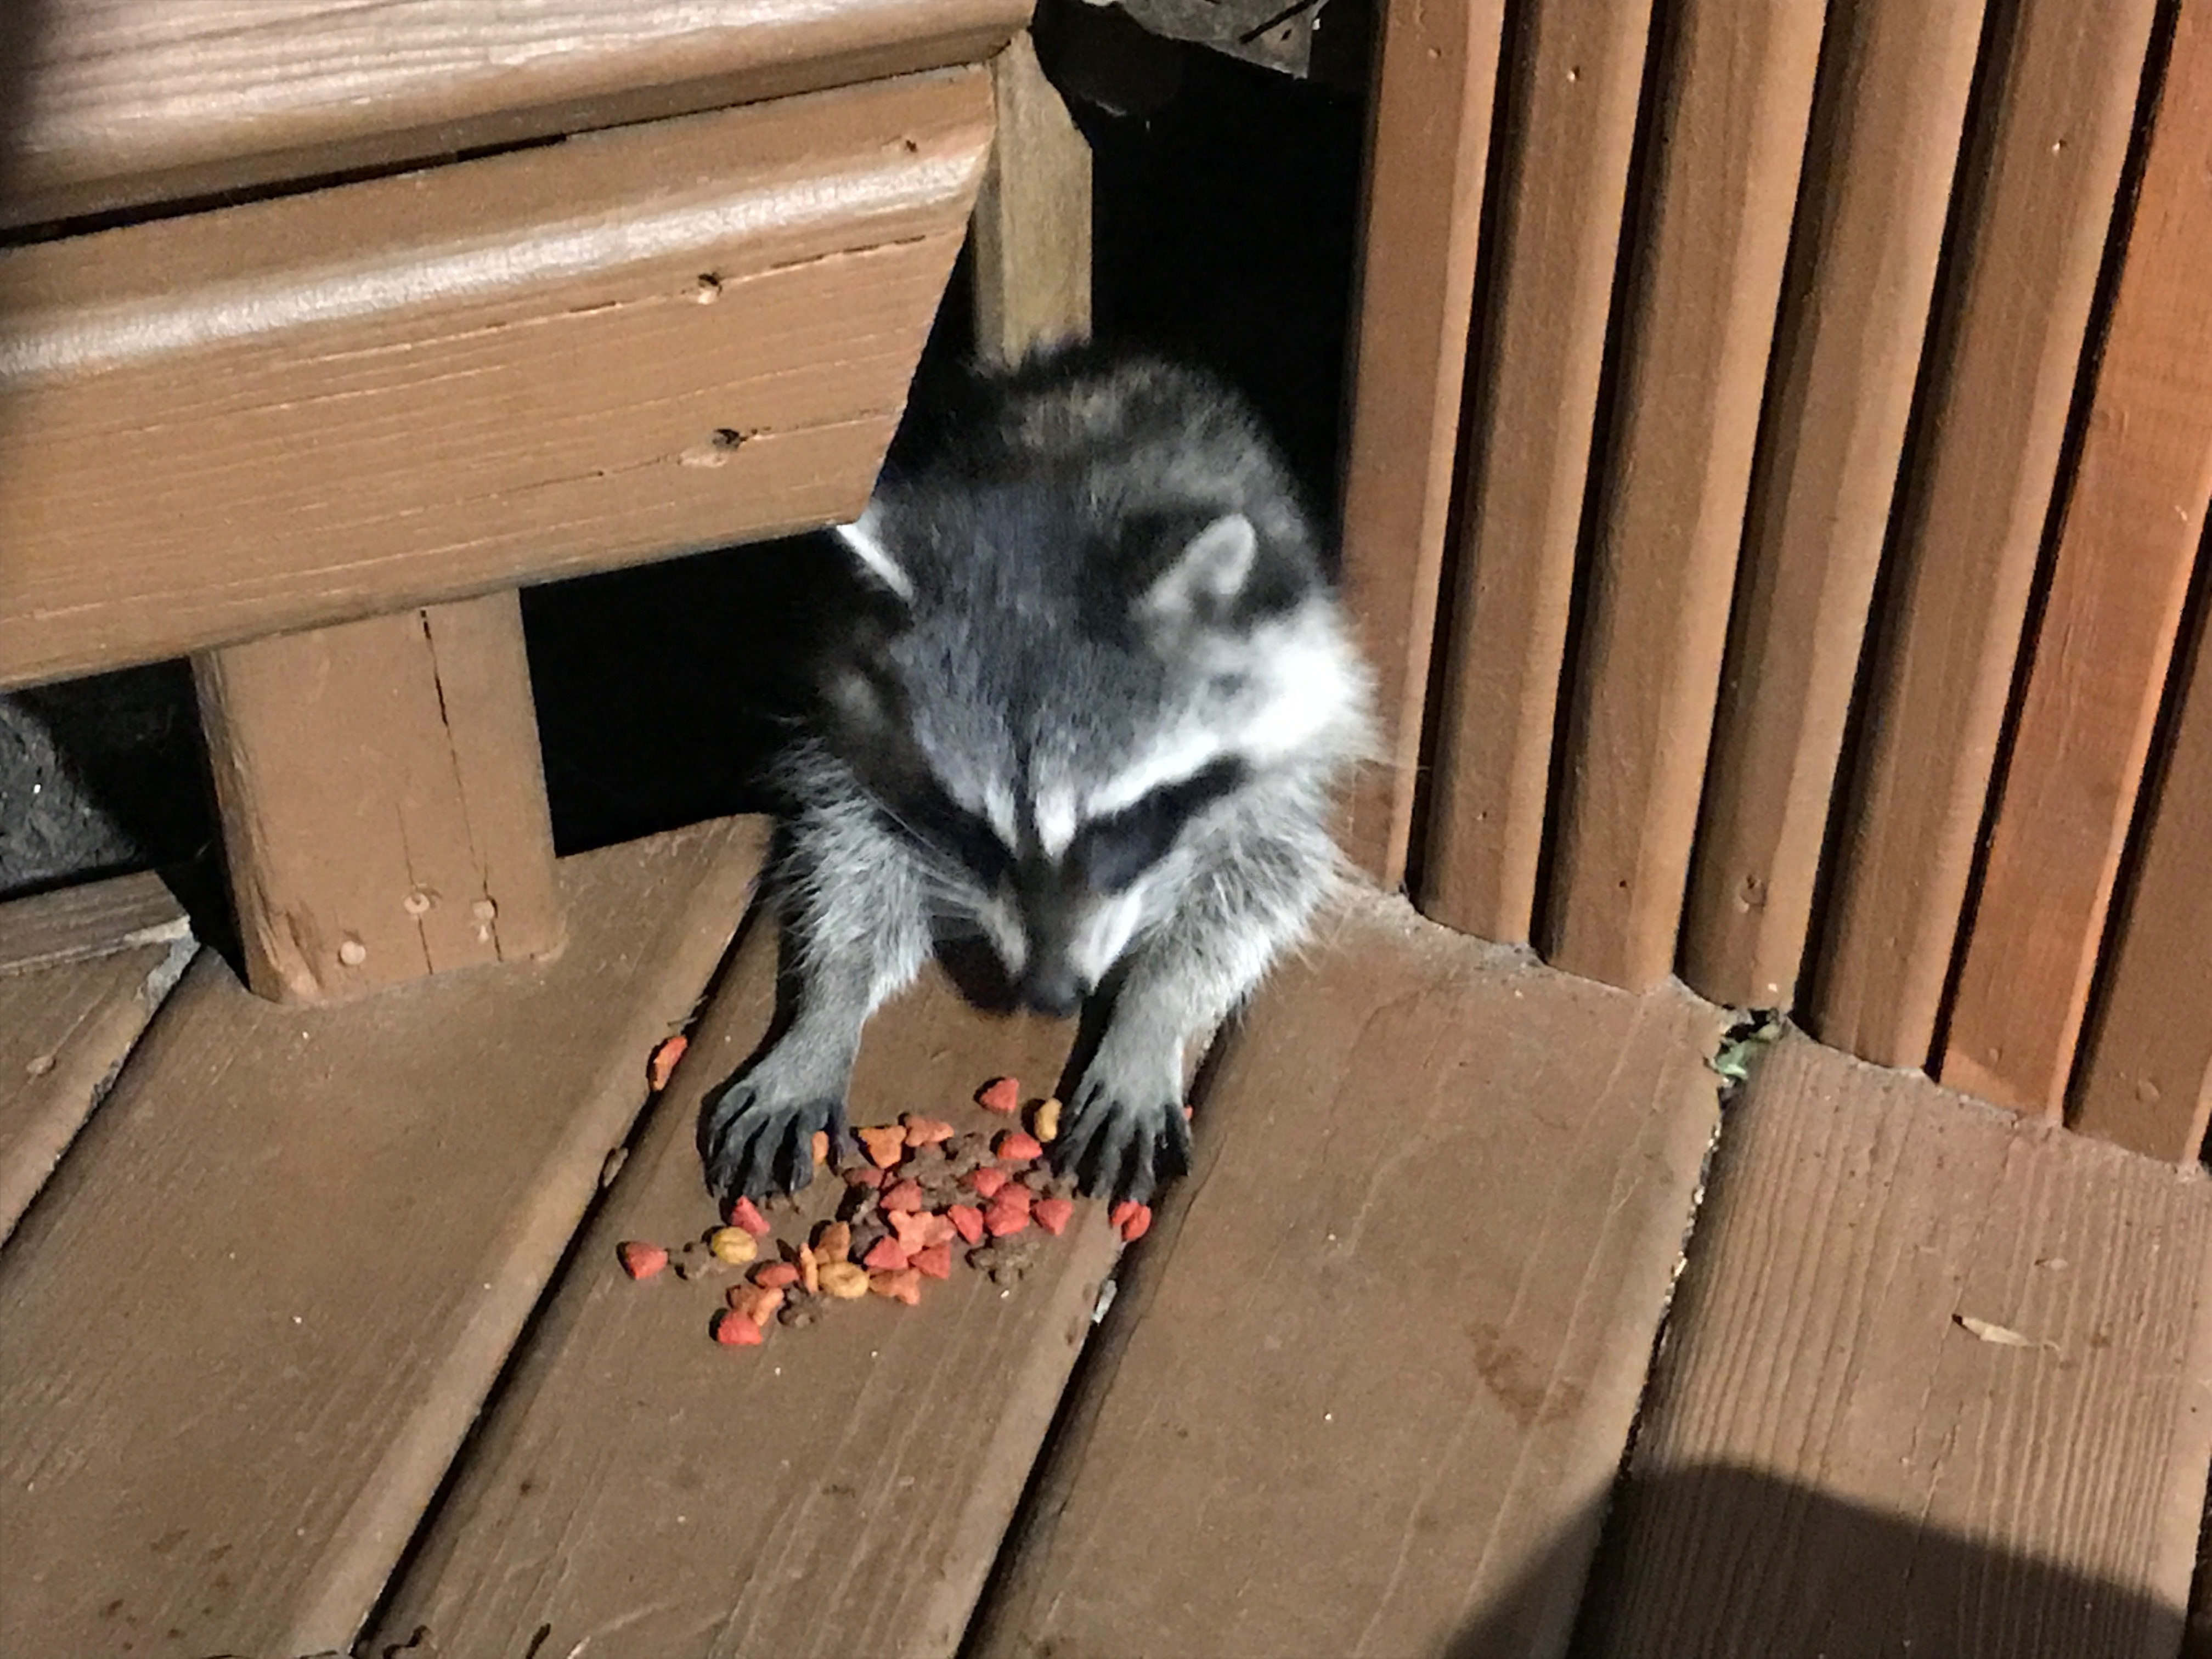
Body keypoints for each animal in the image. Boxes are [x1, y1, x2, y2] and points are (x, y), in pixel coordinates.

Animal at [699, 352, 1371, 1212]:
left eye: (1114, 828)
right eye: (976, 832)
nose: (1050, 998)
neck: (1057, 508)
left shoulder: (1289, 728)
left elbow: (1259, 880)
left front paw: (1153, 1014)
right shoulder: (856, 728)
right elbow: (851, 859)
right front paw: (827, 1009)